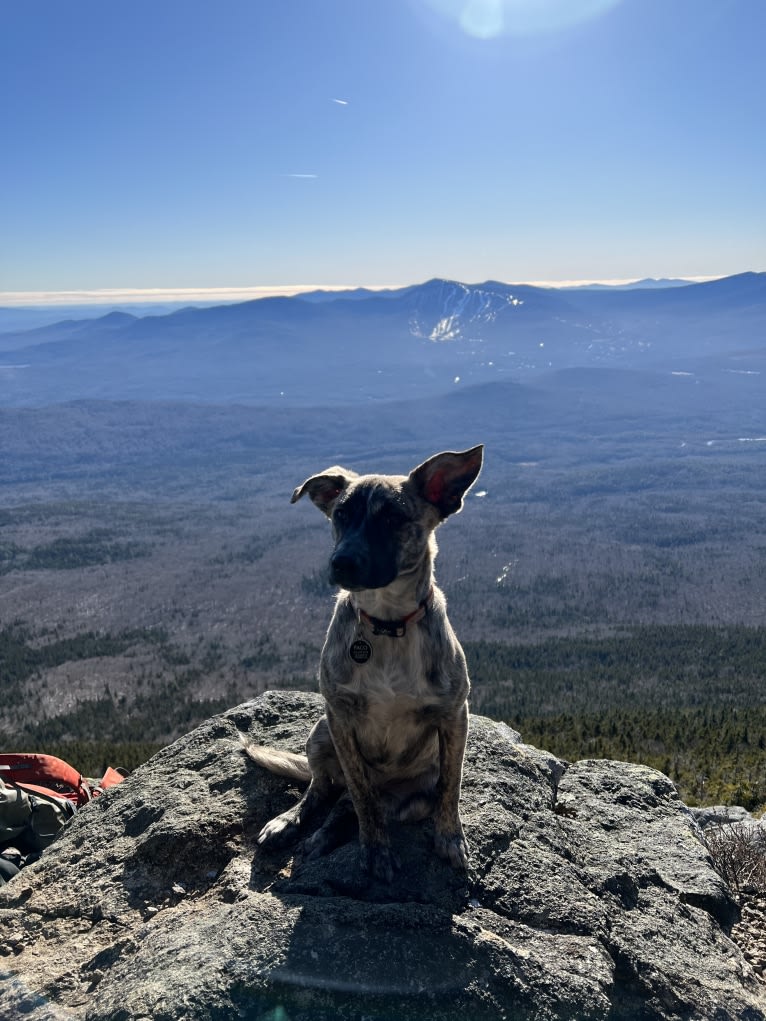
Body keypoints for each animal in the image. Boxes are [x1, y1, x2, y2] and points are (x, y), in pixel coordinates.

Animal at [244, 443, 486, 882]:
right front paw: (375, 850)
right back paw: (293, 823)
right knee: (325, 789)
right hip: (319, 734)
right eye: (341, 514)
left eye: (392, 518)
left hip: (408, 799)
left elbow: (450, 786)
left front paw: (450, 839)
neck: (387, 625)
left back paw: (323, 836)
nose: (341, 562)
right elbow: (361, 797)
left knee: (344, 806)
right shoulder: (340, 717)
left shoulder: (454, 715)